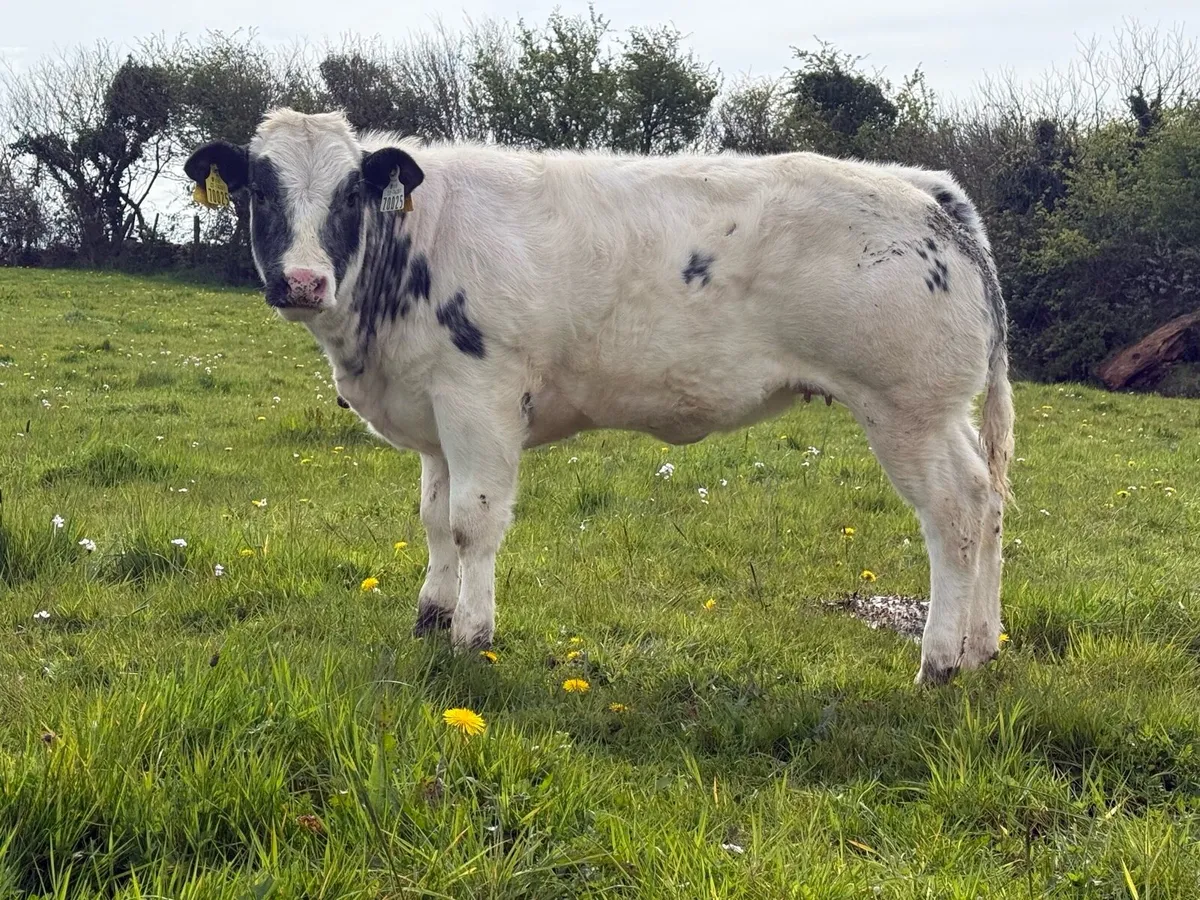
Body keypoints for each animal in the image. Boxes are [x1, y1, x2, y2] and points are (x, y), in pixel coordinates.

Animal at [185, 108, 1014, 685]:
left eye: (351, 192)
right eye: (260, 190)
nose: (302, 281)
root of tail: (922, 186)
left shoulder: (481, 398)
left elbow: (473, 523)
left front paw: (472, 636)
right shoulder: (434, 414)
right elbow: (433, 521)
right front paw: (430, 616)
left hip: (907, 410)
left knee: (954, 513)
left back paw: (940, 659)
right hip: (941, 413)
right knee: (988, 500)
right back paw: (980, 646)